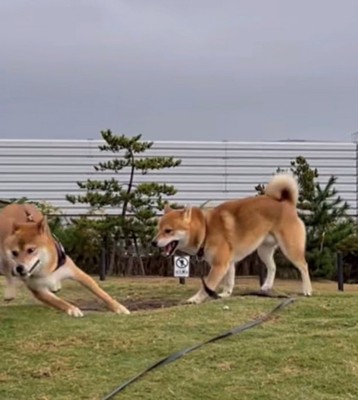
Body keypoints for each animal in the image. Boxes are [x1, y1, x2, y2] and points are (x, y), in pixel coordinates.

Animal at [0, 205, 129, 318]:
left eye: (31, 250)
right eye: (14, 253)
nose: (19, 268)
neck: (46, 269)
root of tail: (13, 205)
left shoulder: (77, 273)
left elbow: (101, 292)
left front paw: (119, 307)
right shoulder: (38, 290)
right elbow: (59, 302)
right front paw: (73, 309)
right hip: (4, 260)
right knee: (8, 275)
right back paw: (10, 293)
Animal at [152, 173, 312, 304]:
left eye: (168, 231)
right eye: (158, 229)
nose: (153, 242)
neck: (206, 230)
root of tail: (287, 203)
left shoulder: (219, 265)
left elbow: (207, 286)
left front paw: (195, 299)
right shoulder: (227, 263)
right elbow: (229, 282)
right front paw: (225, 294)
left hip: (290, 249)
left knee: (304, 266)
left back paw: (307, 290)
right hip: (263, 250)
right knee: (273, 267)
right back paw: (266, 286)